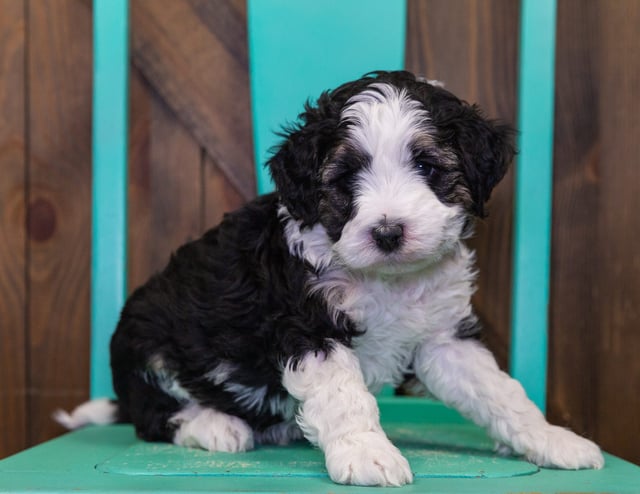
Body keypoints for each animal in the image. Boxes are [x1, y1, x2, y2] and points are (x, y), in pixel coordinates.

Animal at [56, 72, 604, 486]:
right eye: (344, 180)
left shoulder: (445, 338)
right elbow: (345, 398)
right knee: (156, 417)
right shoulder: (309, 328)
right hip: (147, 337)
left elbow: (500, 392)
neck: (385, 279)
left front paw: (551, 438)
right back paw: (215, 424)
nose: (388, 232)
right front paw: (367, 453)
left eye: (427, 166)